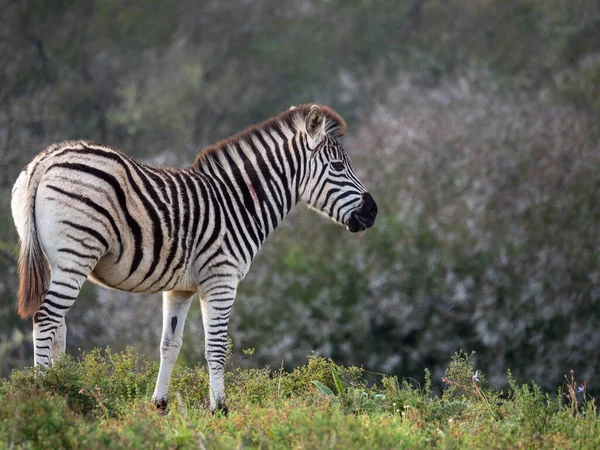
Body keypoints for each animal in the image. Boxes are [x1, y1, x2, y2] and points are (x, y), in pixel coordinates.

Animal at [11, 103, 378, 414]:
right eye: (337, 166)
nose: (373, 212)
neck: (238, 202)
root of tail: (46, 159)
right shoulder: (221, 279)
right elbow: (215, 346)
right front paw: (220, 409)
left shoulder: (180, 288)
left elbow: (170, 344)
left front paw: (159, 405)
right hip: (76, 254)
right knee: (46, 319)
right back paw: (46, 394)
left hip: (56, 260)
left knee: (57, 324)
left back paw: (65, 387)